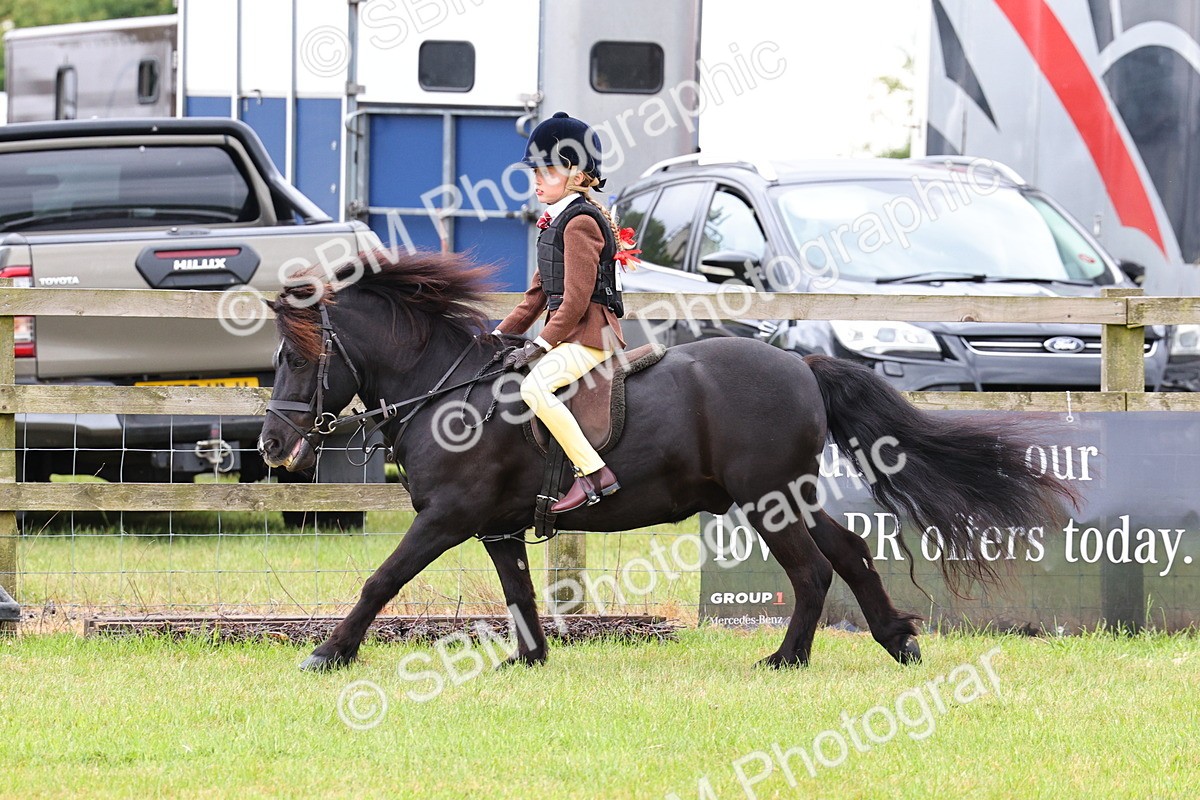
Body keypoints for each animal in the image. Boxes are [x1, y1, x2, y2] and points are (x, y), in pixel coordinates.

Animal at [257, 249, 1075, 671]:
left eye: (298, 357)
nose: (269, 446)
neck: (445, 392)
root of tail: (801, 362)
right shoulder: (495, 527)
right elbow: (519, 594)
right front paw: (530, 661)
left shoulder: (447, 518)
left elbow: (380, 580)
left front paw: (329, 654)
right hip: (793, 494)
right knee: (849, 552)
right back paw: (896, 640)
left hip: (768, 498)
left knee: (813, 569)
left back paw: (786, 659)